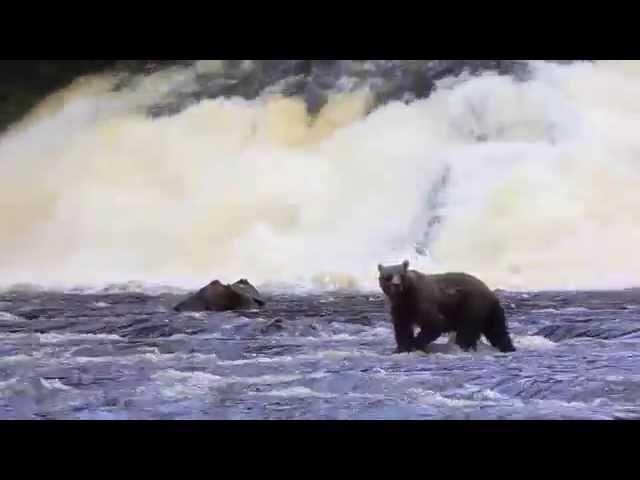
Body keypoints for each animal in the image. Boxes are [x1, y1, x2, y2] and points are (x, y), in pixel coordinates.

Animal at [378, 260, 516, 354]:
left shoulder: (422, 301)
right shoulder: (400, 307)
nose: (396, 285)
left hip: (472, 306)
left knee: (467, 331)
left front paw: (416, 344)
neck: (405, 295)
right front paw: (402, 347)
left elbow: (435, 322)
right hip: (489, 312)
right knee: (497, 331)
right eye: (388, 276)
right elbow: (402, 327)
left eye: (401, 275)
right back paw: (508, 347)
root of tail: (491, 292)